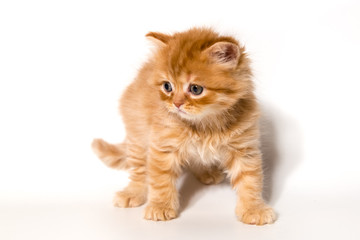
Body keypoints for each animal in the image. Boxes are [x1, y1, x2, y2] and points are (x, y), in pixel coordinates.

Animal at [92, 28, 276, 225]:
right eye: (167, 86)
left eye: (195, 89)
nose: (177, 104)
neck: (205, 125)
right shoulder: (162, 146)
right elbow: (161, 180)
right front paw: (160, 206)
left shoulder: (244, 148)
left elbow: (250, 180)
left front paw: (254, 209)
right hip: (138, 135)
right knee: (139, 170)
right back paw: (133, 192)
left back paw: (207, 172)